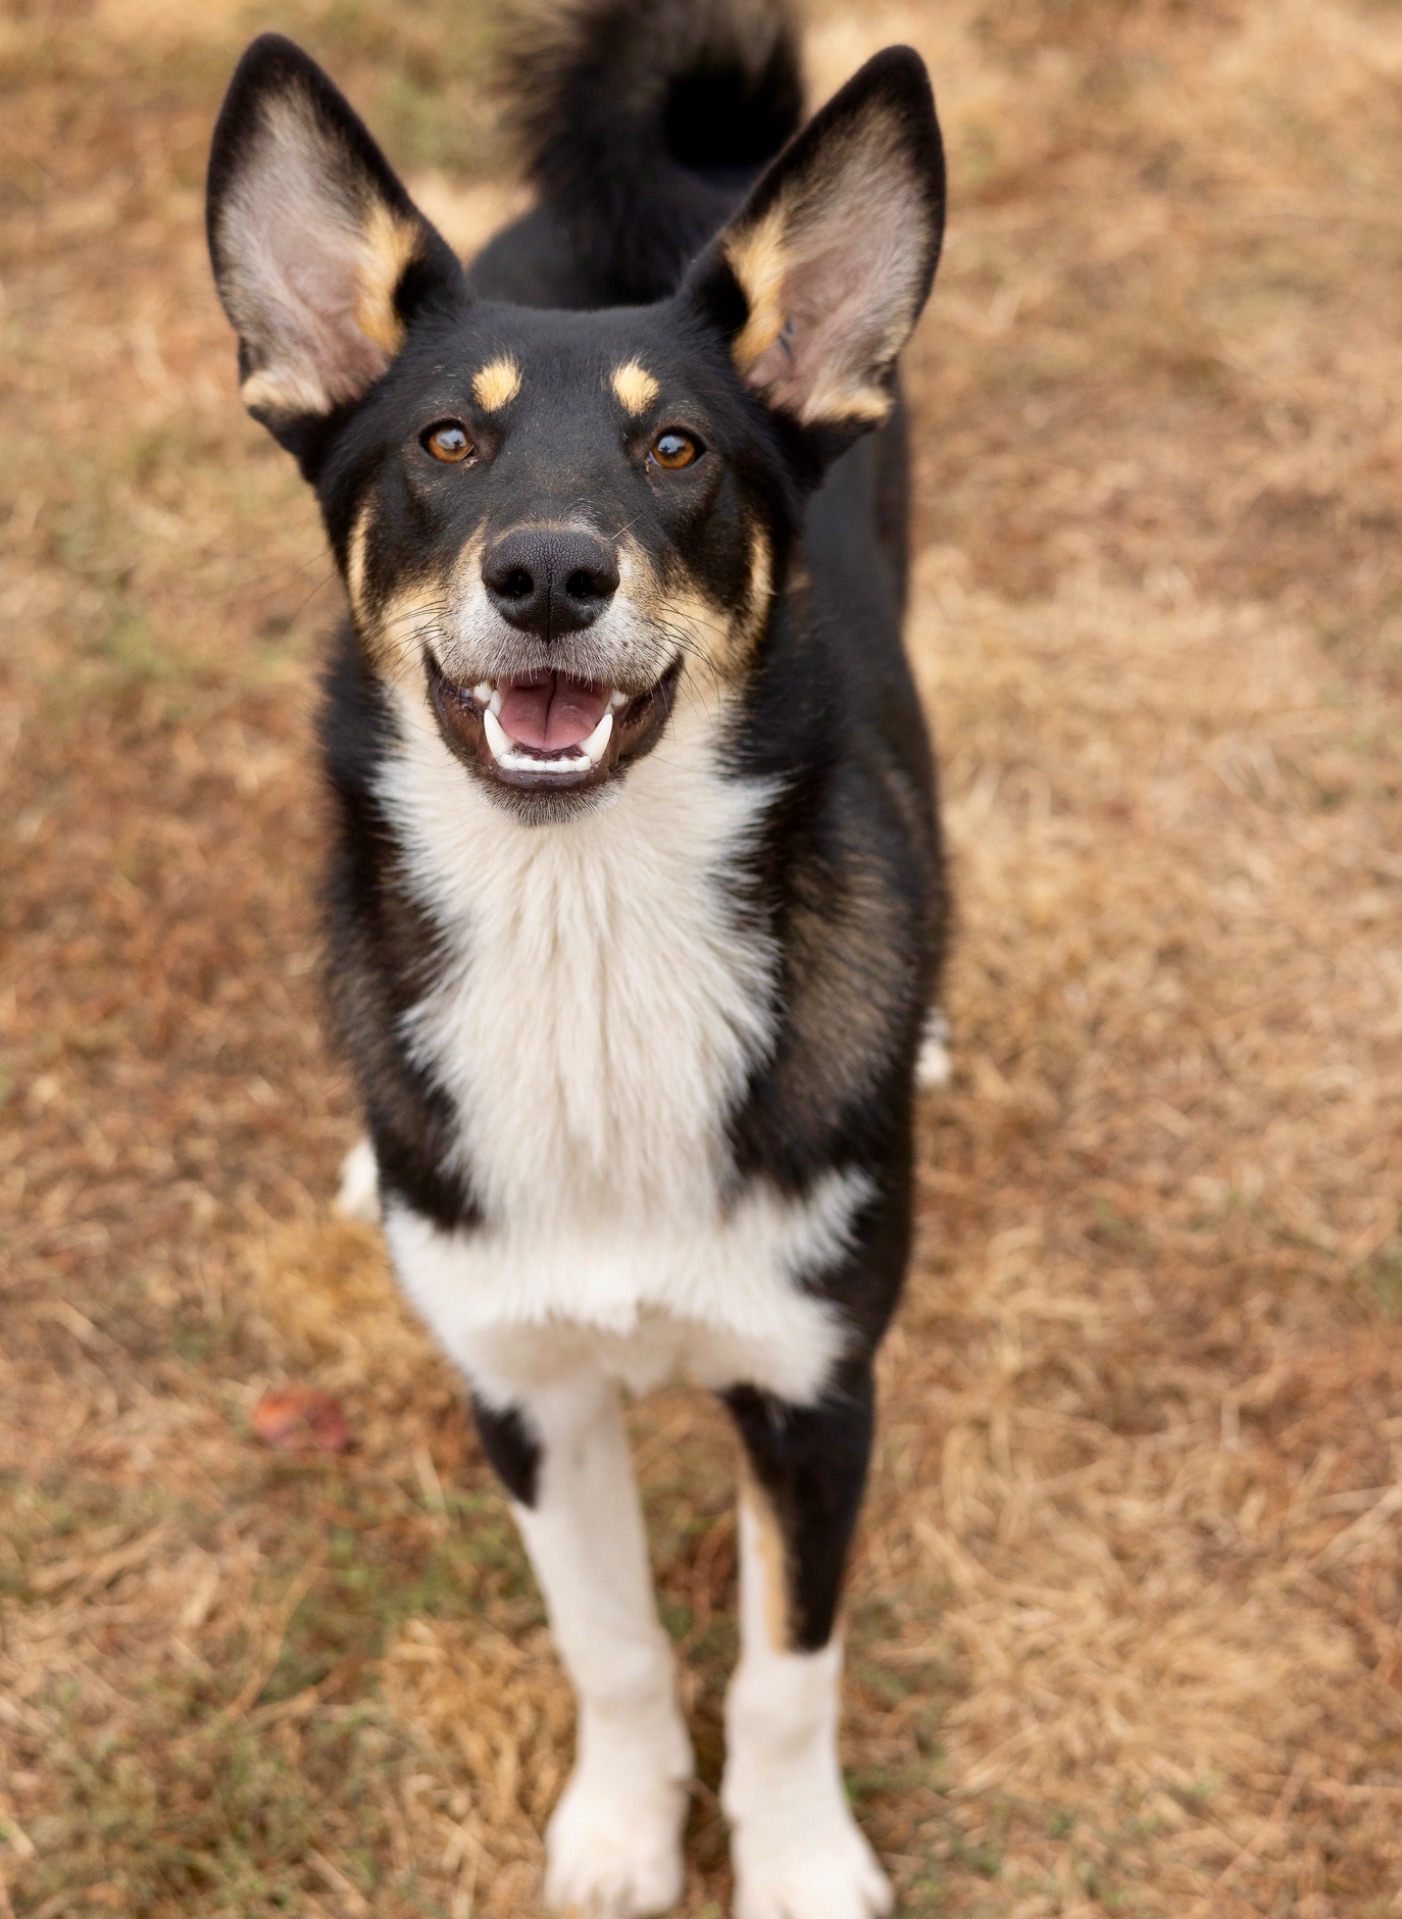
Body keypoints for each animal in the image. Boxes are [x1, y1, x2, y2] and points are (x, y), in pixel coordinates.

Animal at [208, 7, 947, 1911]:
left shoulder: (816, 1390)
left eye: (676, 447)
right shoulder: (523, 1391)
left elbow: (783, 1667)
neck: (588, 930)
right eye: (444, 447)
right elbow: (609, 1643)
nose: (549, 572)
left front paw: (797, 1859)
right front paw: (619, 1829)